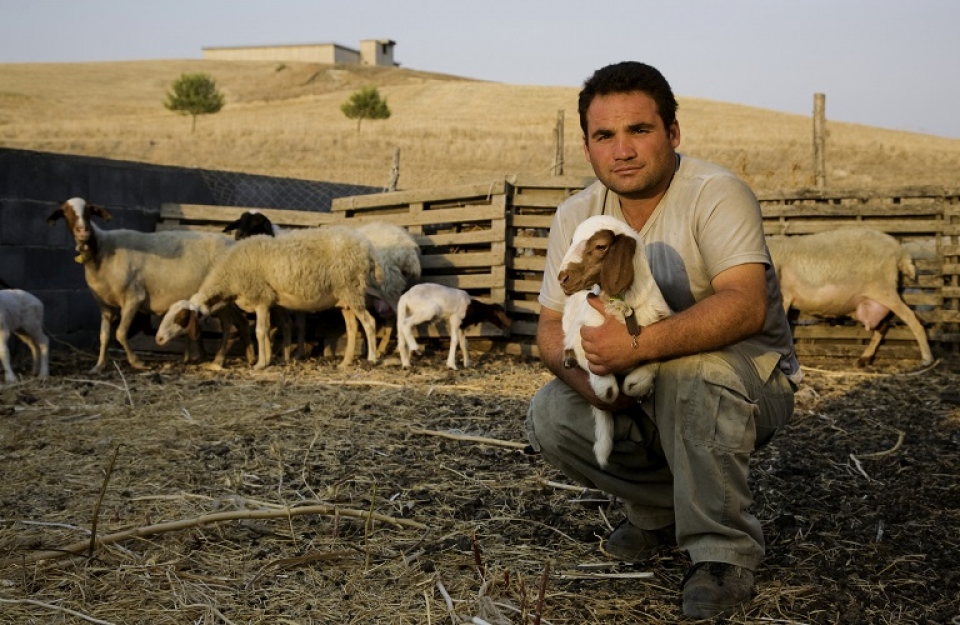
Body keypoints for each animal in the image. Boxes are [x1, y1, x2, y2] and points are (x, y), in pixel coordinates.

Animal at [47, 196, 251, 370]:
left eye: (89, 211)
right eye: (65, 212)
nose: (83, 231)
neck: (102, 250)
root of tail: (235, 245)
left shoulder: (133, 298)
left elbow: (120, 333)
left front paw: (137, 363)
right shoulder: (104, 305)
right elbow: (104, 336)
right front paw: (99, 366)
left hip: (220, 295)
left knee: (228, 324)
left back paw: (219, 359)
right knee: (240, 321)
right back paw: (243, 358)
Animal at [158, 225, 382, 368]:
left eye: (181, 318)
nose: (158, 338)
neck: (229, 275)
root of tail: (367, 247)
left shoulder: (260, 297)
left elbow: (259, 331)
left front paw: (260, 364)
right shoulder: (268, 301)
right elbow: (266, 330)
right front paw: (267, 360)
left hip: (352, 290)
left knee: (369, 323)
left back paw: (372, 359)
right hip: (345, 298)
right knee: (352, 329)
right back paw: (345, 362)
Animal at [556, 214, 676, 464]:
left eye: (600, 246)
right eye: (572, 241)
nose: (562, 279)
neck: (624, 307)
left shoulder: (660, 326)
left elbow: (636, 380)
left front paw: (640, 384)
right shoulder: (584, 336)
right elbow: (608, 391)